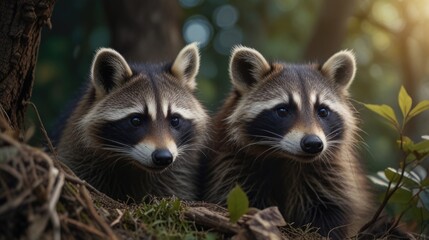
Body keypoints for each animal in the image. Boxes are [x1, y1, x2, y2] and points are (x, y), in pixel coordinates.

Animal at [56, 43, 207, 202]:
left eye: (175, 120)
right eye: (136, 120)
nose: (163, 157)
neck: (134, 164)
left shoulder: (179, 175)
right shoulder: (79, 157)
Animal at [204, 46, 372, 238]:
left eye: (322, 111)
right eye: (283, 110)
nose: (313, 144)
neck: (286, 158)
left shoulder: (332, 173)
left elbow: (332, 211)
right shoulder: (232, 164)